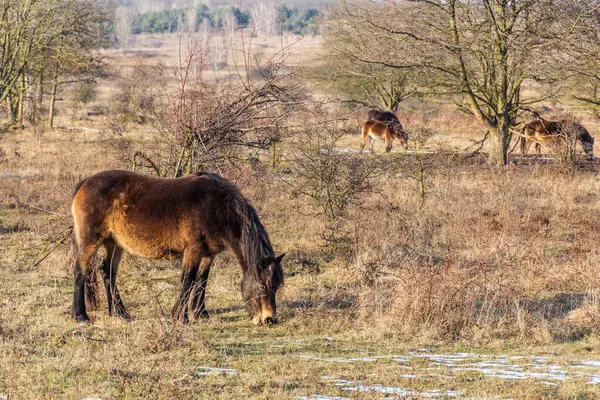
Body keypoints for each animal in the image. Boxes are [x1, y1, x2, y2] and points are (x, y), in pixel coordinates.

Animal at [70, 169, 286, 324]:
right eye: (261, 285)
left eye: (276, 286)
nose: (269, 319)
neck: (218, 207)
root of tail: (85, 182)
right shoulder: (193, 250)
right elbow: (188, 280)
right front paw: (181, 317)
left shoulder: (209, 254)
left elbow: (202, 281)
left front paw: (201, 313)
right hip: (90, 241)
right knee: (80, 271)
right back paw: (80, 316)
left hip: (114, 243)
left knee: (108, 273)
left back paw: (120, 314)